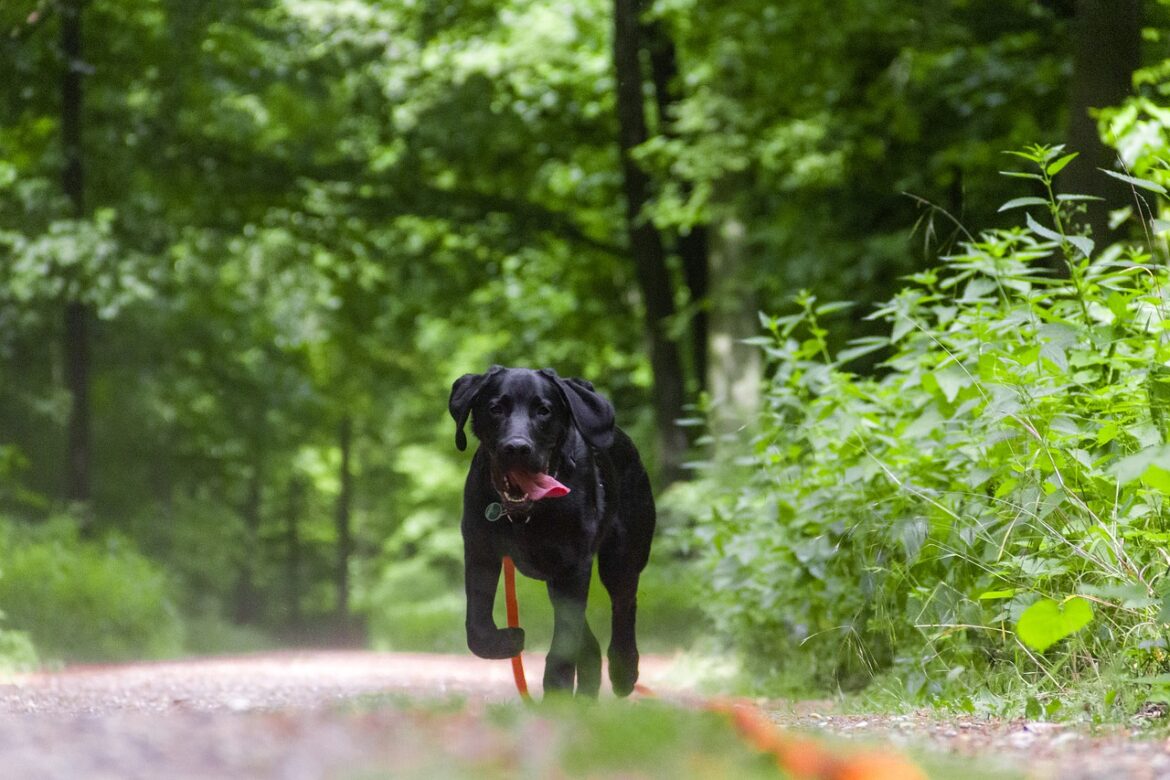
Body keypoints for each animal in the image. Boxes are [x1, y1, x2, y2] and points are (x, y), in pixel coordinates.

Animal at [446, 369, 655, 696]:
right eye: (496, 408)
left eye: (544, 410)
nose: (517, 448)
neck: (525, 516)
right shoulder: (481, 553)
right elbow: (477, 629)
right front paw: (509, 640)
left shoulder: (574, 566)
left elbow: (564, 642)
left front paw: (556, 691)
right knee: (590, 642)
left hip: (621, 557)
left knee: (623, 606)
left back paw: (624, 672)